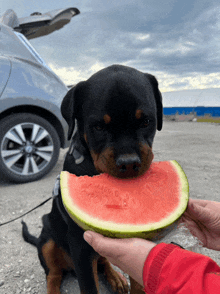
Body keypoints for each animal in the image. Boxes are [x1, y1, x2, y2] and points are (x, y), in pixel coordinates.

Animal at [21, 65, 163, 294]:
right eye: (98, 127)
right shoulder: (80, 245)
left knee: (102, 261)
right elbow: (89, 286)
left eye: (146, 121)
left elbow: (137, 281)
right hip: (48, 237)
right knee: (53, 274)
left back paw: (115, 277)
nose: (129, 163)